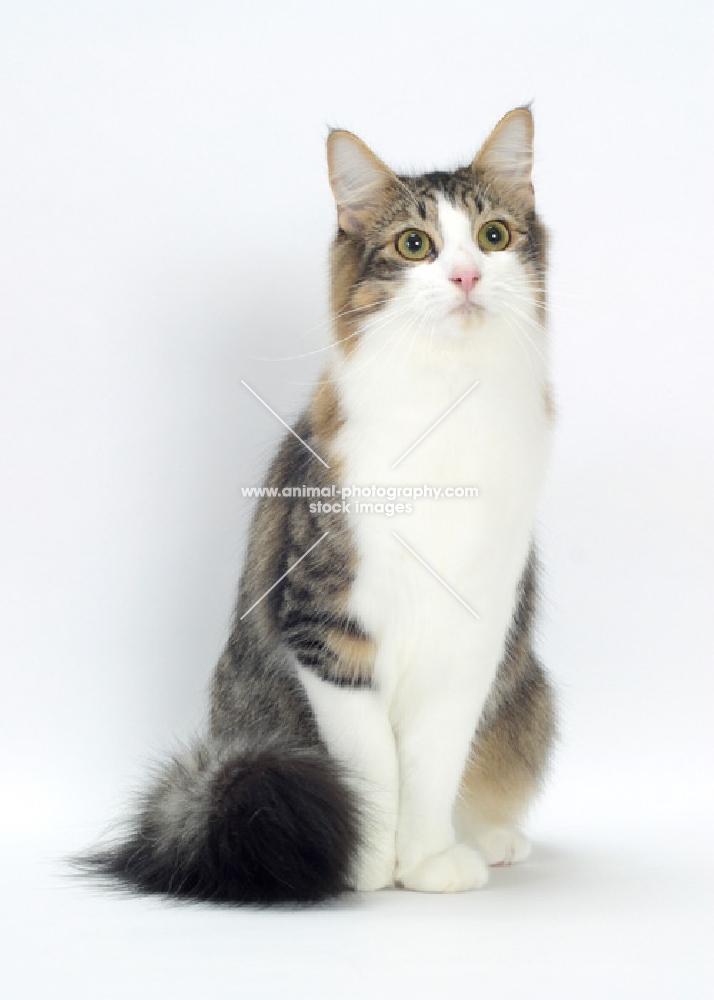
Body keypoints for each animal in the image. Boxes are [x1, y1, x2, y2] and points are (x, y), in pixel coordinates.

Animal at [79, 105, 556, 904]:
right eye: (415, 245)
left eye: (493, 236)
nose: (465, 276)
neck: (447, 405)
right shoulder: (326, 629)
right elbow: (374, 769)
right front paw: (362, 865)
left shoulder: (473, 637)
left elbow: (431, 765)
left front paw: (426, 862)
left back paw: (487, 841)